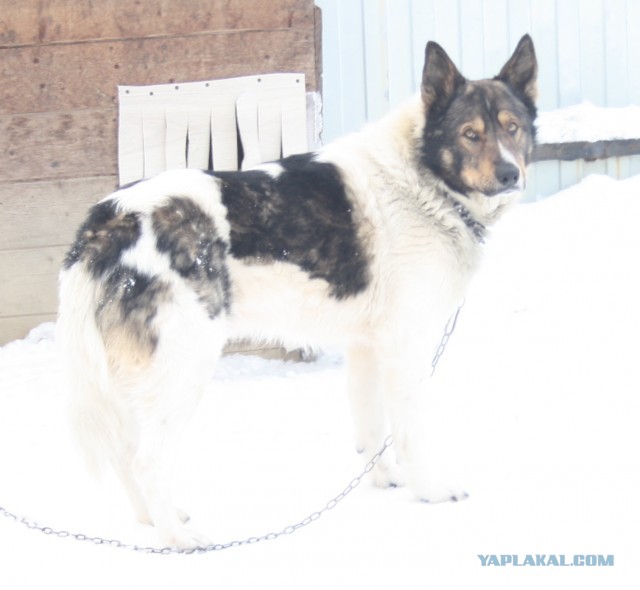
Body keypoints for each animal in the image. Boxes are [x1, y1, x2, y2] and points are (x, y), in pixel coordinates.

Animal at [57, 33, 536, 552]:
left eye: (512, 128)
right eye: (470, 134)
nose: (510, 174)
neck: (423, 180)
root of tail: (110, 217)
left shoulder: (366, 348)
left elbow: (372, 430)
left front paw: (384, 482)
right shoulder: (405, 350)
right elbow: (410, 434)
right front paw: (429, 491)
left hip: (139, 377)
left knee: (127, 454)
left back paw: (156, 521)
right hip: (184, 367)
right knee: (145, 460)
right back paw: (180, 539)